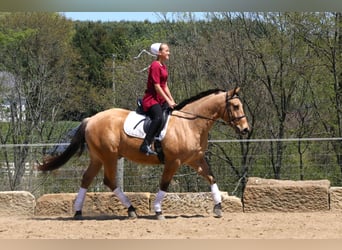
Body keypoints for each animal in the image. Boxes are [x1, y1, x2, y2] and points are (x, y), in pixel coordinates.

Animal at [38, 87, 250, 220]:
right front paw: (158, 211)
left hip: (98, 158)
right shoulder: (174, 161)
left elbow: (211, 178)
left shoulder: (195, 159)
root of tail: (91, 119)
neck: (189, 123)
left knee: (87, 179)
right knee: (109, 181)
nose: (246, 129)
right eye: (235, 106)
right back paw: (131, 209)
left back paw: (79, 212)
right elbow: (164, 184)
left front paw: (218, 207)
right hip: (109, 156)